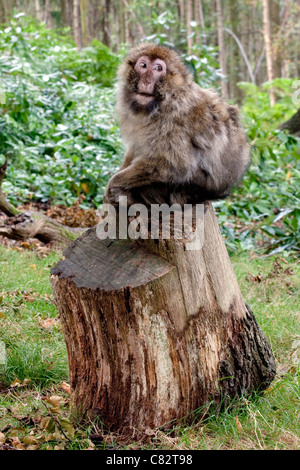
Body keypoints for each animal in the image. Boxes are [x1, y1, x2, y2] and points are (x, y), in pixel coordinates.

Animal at [103, 42, 251, 207]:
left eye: (158, 68)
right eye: (143, 65)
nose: (147, 81)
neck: (162, 102)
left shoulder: (172, 121)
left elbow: (174, 165)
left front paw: (113, 183)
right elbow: (137, 146)